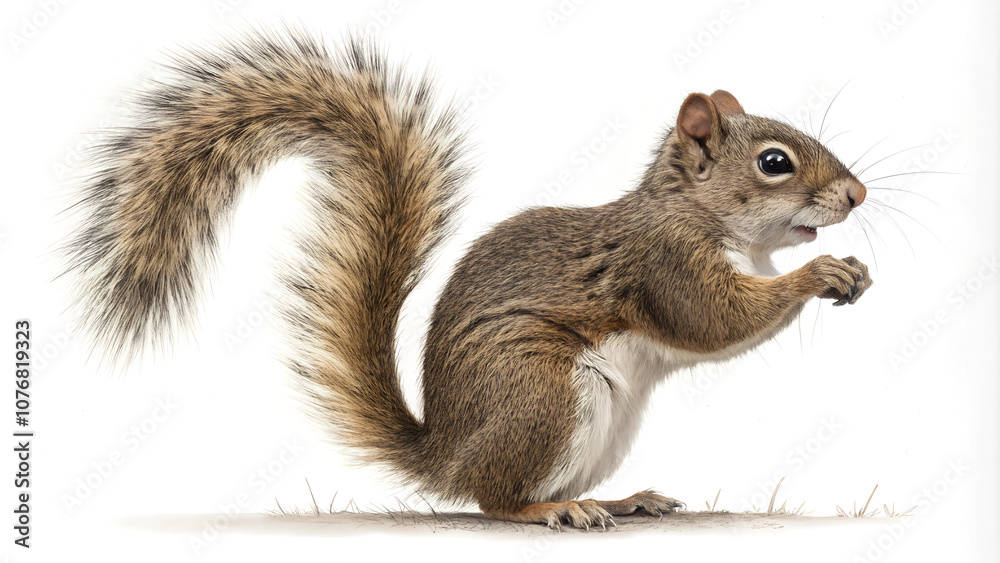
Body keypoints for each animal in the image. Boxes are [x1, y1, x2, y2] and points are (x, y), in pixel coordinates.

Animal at [63, 30, 872, 530]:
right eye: (775, 163)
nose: (859, 196)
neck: (705, 217)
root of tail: (448, 450)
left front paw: (851, 268)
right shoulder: (663, 262)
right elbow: (716, 318)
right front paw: (820, 271)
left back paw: (622, 499)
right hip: (545, 392)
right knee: (495, 500)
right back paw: (551, 512)